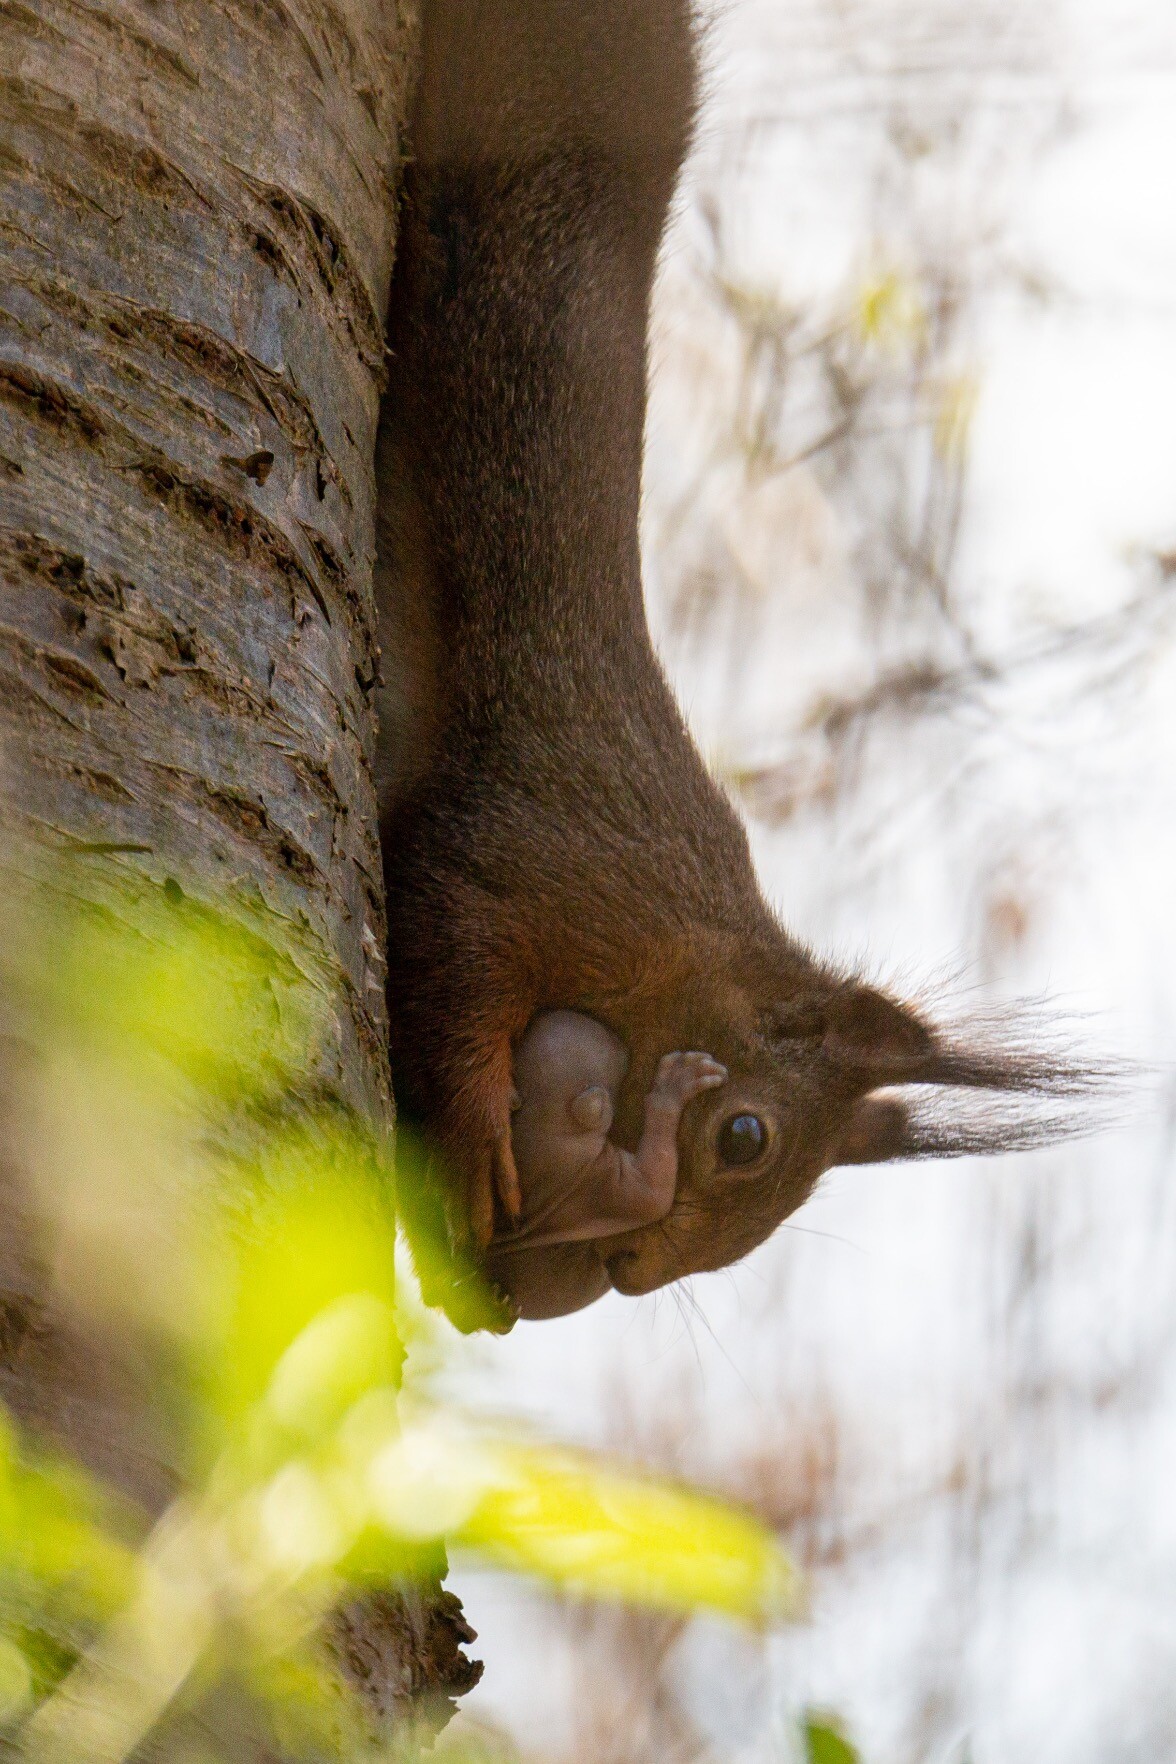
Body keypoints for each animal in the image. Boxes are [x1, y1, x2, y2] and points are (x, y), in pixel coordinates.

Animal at [375, 0, 1093, 1326]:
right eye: (746, 1138)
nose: (631, 1269)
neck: (693, 945)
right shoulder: (541, 855)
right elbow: (451, 938)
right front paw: (480, 1124)